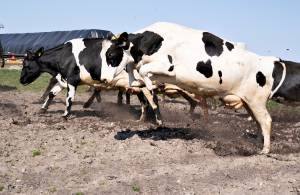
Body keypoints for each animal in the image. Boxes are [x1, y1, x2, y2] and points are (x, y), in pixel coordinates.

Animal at [103, 22, 300, 154]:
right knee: (259, 122)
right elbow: (133, 69)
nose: (104, 78)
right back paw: (258, 143)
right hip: (248, 102)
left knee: (266, 120)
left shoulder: (168, 66)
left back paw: (265, 150)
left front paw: (148, 83)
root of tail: (268, 61)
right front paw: (138, 82)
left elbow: (143, 70)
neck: (153, 40)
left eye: (111, 54)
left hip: (256, 100)